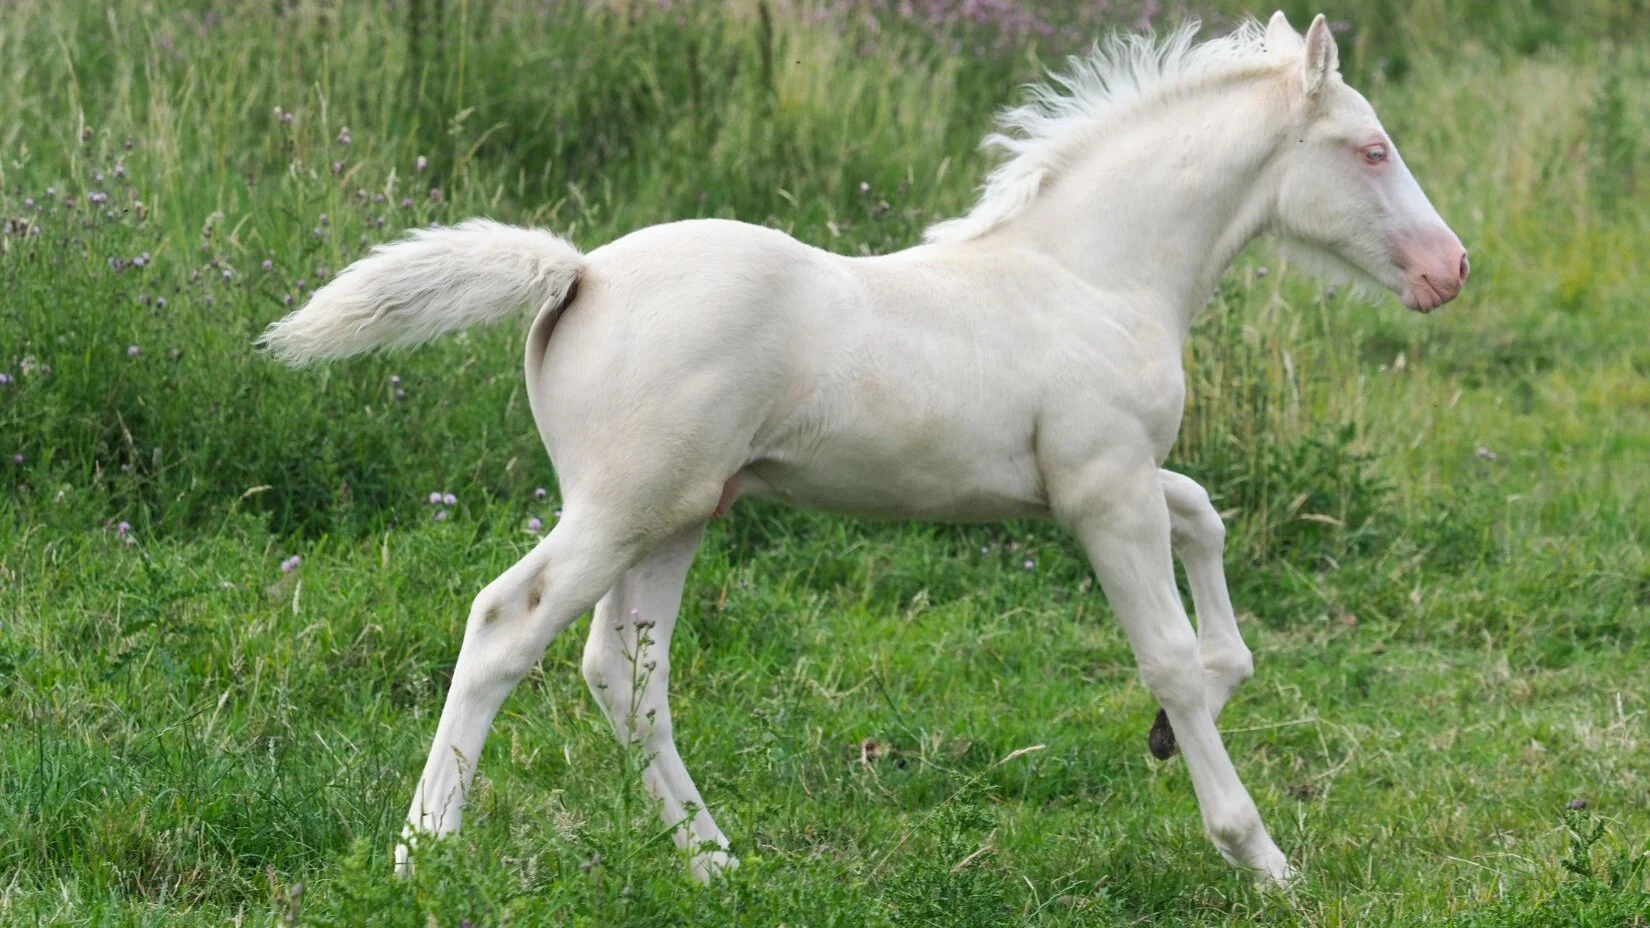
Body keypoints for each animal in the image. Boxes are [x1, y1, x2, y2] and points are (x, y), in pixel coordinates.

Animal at [260, 11, 1468, 886]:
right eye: (1372, 148)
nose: (1449, 268)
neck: (1091, 273)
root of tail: (578, 271)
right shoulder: (1102, 494)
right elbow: (1164, 649)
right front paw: (1259, 853)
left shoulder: (1100, 481)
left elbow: (1205, 517)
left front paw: (1187, 718)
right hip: (619, 507)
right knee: (506, 625)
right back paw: (423, 851)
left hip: (681, 512)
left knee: (626, 675)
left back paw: (712, 861)